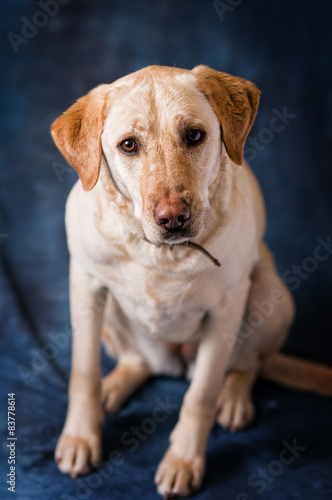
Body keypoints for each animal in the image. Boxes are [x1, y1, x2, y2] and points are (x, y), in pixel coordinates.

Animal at [50, 65, 332, 496]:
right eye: (128, 145)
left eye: (195, 135)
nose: (173, 217)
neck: (161, 254)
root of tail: (175, 361)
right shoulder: (85, 281)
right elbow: (83, 372)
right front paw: (81, 438)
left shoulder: (226, 309)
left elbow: (201, 395)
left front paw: (183, 461)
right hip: (113, 312)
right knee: (138, 362)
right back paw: (113, 388)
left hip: (271, 295)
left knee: (247, 364)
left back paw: (234, 398)